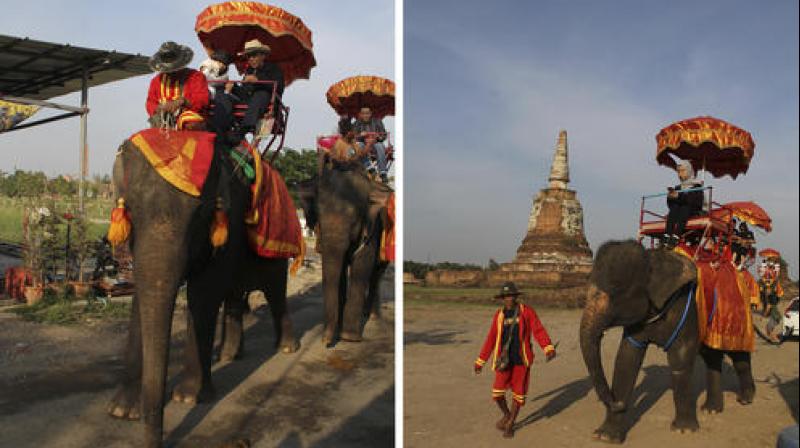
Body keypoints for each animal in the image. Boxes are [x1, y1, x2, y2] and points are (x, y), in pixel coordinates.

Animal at [104, 138, 296, 446]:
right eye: (128, 209)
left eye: (199, 215)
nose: (156, 439)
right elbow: (143, 294)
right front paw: (122, 411)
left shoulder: (230, 220)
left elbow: (204, 292)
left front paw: (188, 398)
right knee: (235, 297)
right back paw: (228, 355)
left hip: (276, 246)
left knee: (276, 290)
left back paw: (287, 347)